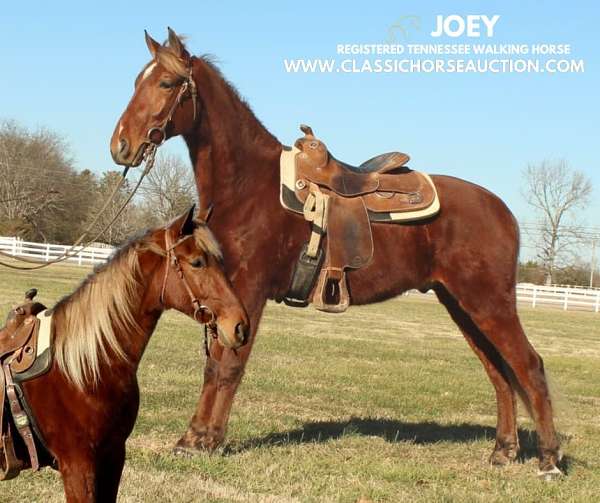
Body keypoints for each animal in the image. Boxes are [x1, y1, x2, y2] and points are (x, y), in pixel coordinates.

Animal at [110, 29, 564, 478]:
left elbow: (227, 366)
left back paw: (549, 460)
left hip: (488, 302)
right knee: (499, 372)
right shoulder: (225, 294)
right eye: (135, 81)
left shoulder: (248, 291)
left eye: (167, 83)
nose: (121, 146)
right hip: (460, 304)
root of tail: (502, 211)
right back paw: (503, 451)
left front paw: (203, 440)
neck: (247, 186)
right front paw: (197, 438)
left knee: (529, 365)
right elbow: (216, 363)